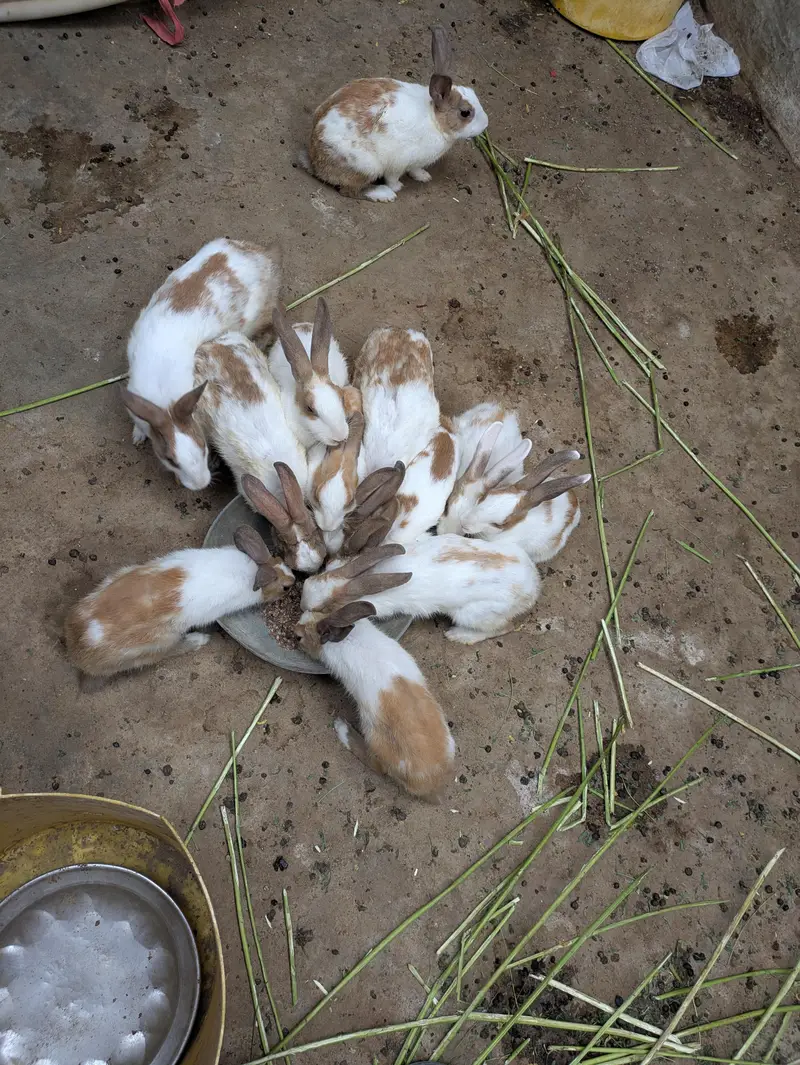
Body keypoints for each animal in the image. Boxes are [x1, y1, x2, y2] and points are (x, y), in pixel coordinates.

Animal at [64, 527, 294, 679]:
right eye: (285, 588)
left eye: (280, 558)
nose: (293, 580)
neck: (254, 572)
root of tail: (78, 648)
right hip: (160, 641)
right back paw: (199, 640)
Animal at [123, 238, 281, 491]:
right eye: (170, 460)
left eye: (204, 448)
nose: (200, 485)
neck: (165, 404)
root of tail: (263, 256)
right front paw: (138, 437)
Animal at [295, 595, 455, 800]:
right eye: (321, 609)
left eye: (299, 637)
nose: (294, 629)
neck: (344, 640)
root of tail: (427, 782)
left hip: (373, 737)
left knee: (375, 765)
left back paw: (342, 728)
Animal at [300, 27, 488, 202]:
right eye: (465, 113)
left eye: (473, 92)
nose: (485, 123)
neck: (435, 119)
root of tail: (315, 161)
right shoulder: (399, 162)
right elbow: (393, 177)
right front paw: (397, 186)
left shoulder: (416, 162)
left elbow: (415, 169)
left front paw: (424, 176)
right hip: (367, 166)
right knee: (350, 191)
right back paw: (384, 194)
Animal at [302, 533, 540, 644]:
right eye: (322, 573)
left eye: (323, 608)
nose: (303, 600)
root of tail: (534, 585)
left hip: (473, 614)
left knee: (504, 627)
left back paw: (458, 636)